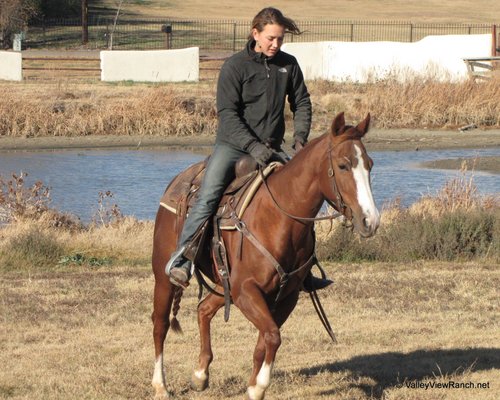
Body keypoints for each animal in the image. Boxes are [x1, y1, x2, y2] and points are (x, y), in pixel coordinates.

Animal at [151, 112, 380, 399]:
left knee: (204, 309)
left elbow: (265, 340)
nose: (370, 221)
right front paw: (259, 386)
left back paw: (200, 375)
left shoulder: (285, 296)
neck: (279, 218)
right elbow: (272, 336)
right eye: (342, 165)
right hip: (164, 276)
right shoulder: (246, 291)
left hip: (225, 284)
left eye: (369, 165)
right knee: (160, 324)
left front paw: (252, 387)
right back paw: (160, 385)